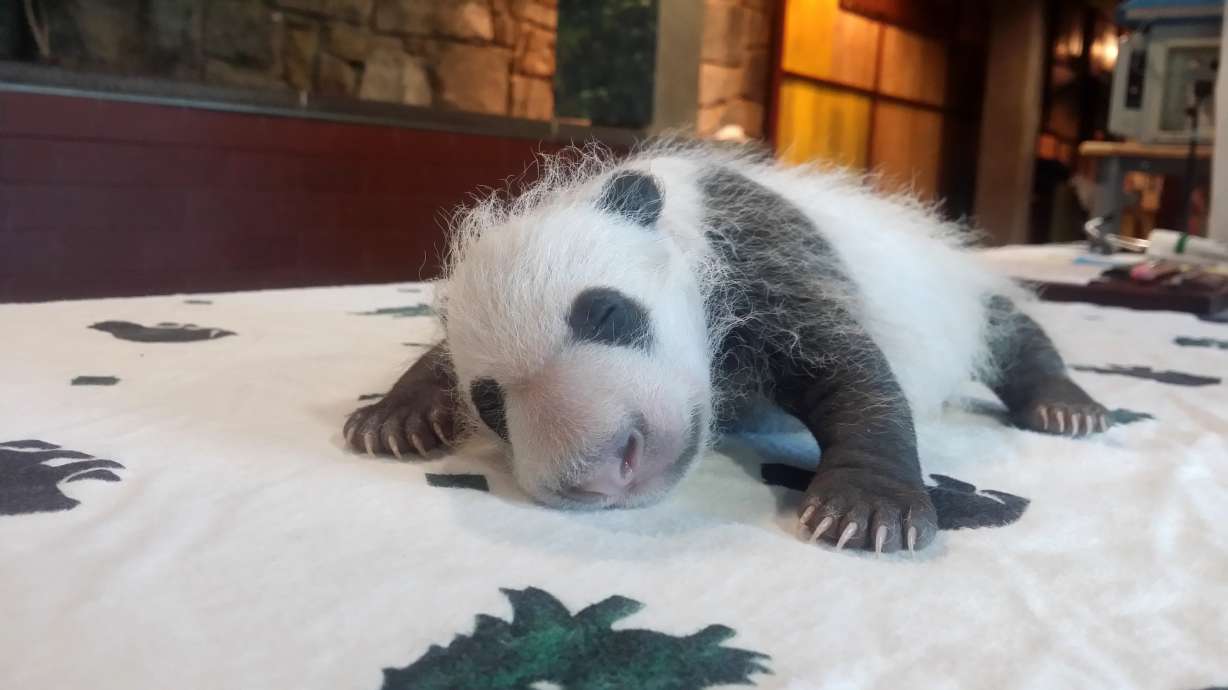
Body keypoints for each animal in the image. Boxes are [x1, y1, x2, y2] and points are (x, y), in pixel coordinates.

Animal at [343, 139, 1112, 554]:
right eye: (491, 405)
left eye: (607, 313)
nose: (603, 468)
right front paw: (394, 417)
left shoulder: (761, 251)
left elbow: (852, 370)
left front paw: (866, 508)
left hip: (953, 289)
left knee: (1011, 329)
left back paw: (1064, 406)